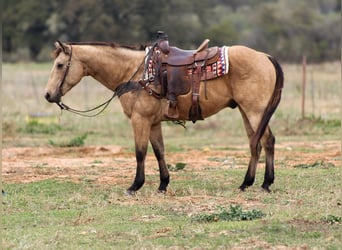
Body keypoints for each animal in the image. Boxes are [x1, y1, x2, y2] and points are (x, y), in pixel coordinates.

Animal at [44, 33, 284, 193]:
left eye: (60, 65)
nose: (48, 95)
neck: (136, 73)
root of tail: (265, 56)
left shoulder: (140, 120)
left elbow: (140, 152)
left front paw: (135, 185)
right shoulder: (153, 122)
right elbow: (159, 151)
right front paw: (162, 184)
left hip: (255, 111)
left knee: (267, 141)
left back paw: (265, 183)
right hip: (246, 112)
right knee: (255, 143)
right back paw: (246, 183)